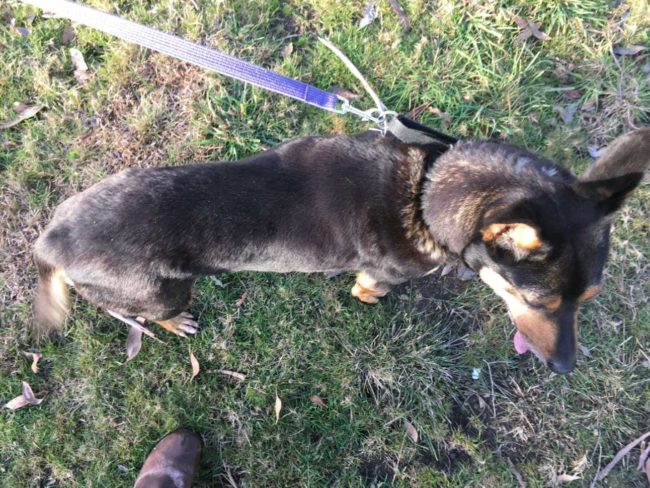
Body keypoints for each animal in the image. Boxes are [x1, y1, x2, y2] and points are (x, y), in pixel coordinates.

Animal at [31, 117, 648, 374]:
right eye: (540, 303)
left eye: (588, 300)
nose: (566, 369)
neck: (425, 190)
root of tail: (51, 240)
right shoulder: (387, 269)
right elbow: (372, 287)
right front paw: (370, 298)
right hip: (161, 291)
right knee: (144, 309)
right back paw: (173, 322)